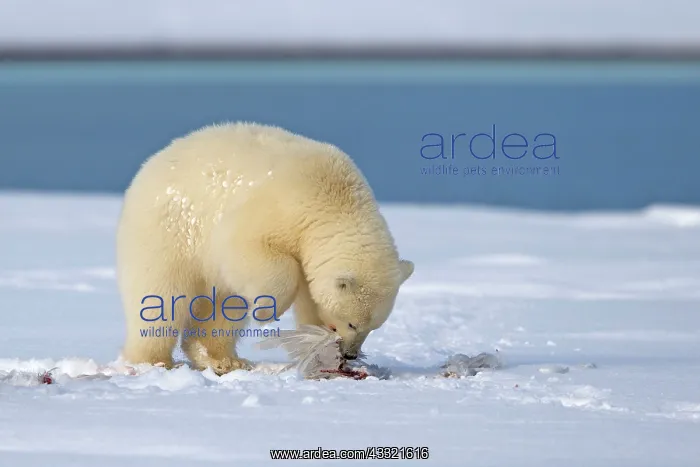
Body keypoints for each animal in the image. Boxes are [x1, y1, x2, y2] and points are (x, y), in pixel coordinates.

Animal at [116, 122, 414, 375]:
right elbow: (247, 249)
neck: (334, 199)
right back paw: (155, 361)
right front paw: (266, 313)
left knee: (223, 307)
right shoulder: (280, 209)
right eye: (352, 323)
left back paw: (223, 360)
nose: (351, 353)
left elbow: (309, 299)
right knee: (162, 297)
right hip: (169, 234)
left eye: (374, 327)